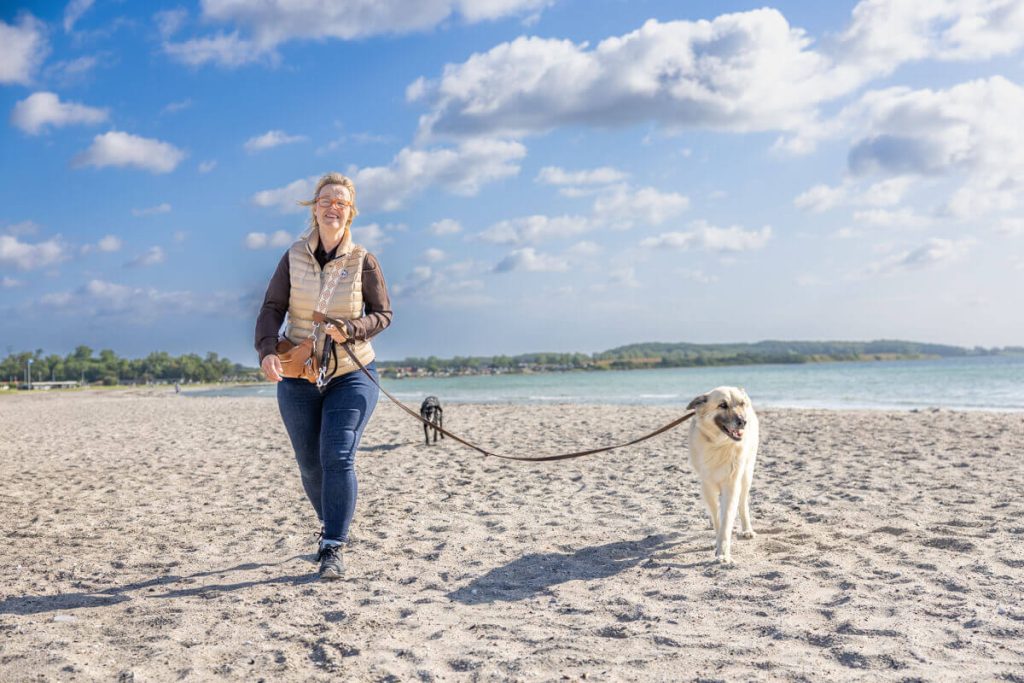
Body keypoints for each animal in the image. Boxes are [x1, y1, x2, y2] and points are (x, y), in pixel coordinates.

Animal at [684, 387, 757, 565]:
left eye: (741, 403)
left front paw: (723, 553)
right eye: (723, 405)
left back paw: (747, 529)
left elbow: (726, 520)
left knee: (743, 503)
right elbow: (717, 517)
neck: (719, 445)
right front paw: (717, 541)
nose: (743, 421)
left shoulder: (731, 486)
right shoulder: (707, 487)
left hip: (746, 475)